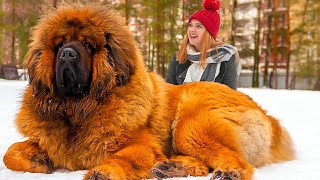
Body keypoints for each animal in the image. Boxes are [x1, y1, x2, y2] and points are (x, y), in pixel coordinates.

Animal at [2, 3, 294, 180]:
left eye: (87, 45)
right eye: (60, 44)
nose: (67, 54)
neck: (80, 108)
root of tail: (269, 118)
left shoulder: (141, 146)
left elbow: (122, 158)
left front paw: (103, 171)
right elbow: (10, 153)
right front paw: (38, 160)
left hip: (191, 124)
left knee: (237, 161)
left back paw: (228, 172)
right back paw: (172, 167)